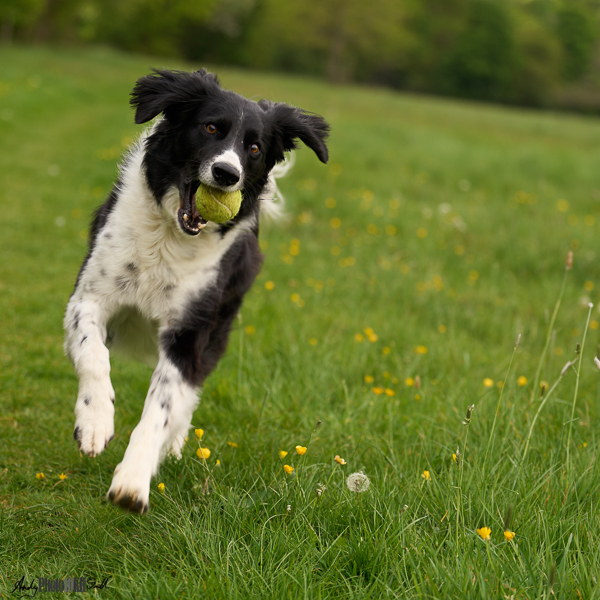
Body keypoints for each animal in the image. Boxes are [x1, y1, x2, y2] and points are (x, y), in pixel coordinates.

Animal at [64, 69, 328, 510]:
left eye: (254, 148)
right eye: (210, 128)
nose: (226, 173)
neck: (169, 237)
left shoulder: (190, 333)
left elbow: (161, 406)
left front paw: (133, 480)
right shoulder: (89, 297)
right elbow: (93, 355)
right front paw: (95, 421)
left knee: (186, 398)